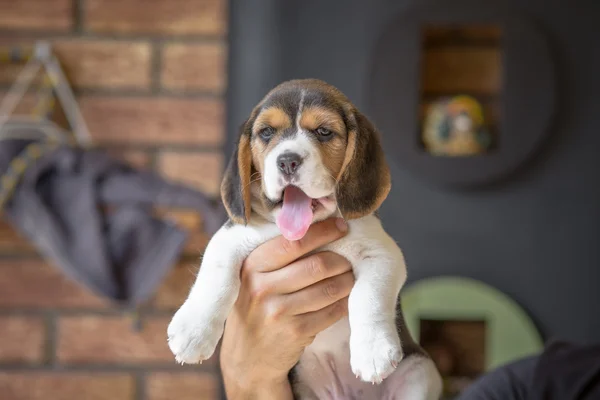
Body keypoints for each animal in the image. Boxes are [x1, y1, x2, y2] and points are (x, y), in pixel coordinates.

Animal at [166, 79, 442, 398]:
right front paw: (192, 332)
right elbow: (216, 277)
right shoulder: (231, 237)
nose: (287, 161)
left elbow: (368, 296)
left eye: (323, 131)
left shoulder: (382, 254)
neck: (310, 226)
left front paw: (373, 351)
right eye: (266, 132)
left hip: (421, 372)